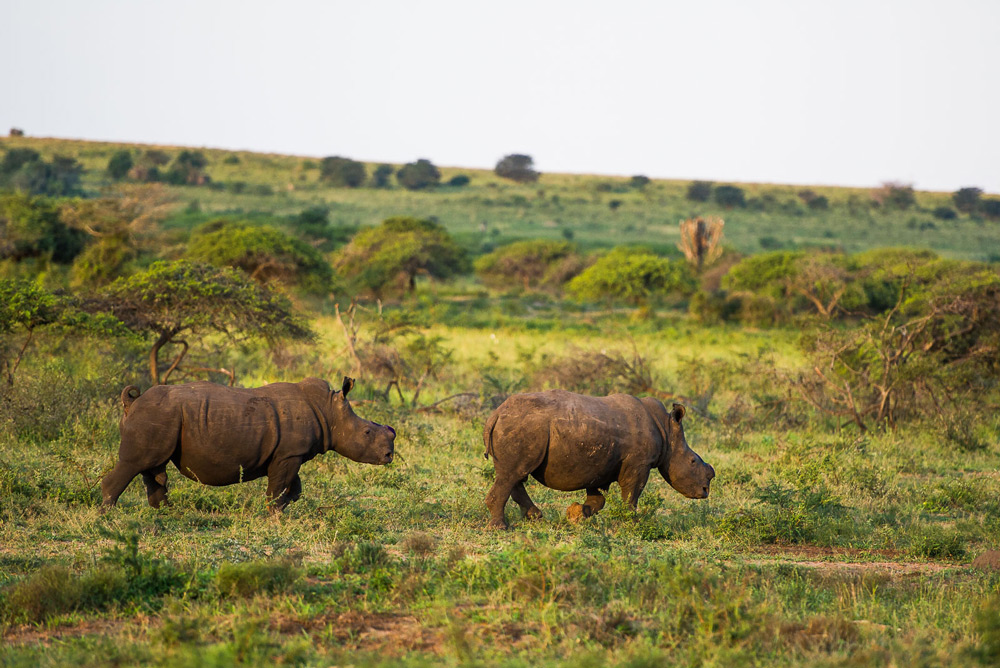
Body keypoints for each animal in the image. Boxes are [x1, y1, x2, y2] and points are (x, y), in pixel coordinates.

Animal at [99, 376, 396, 512]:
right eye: (367, 432)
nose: (389, 455)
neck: (329, 411)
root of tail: (132, 402)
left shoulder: (290, 453)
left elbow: (295, 487)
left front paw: (283, 507)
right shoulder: (289, 454)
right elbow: (279, 486)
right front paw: (274, 514)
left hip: (161, 416)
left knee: (152, 466)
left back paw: (165, 513)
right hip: (156, 414)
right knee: (135, 463)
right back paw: (108, 513)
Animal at [482, 388, 712, 528]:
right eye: (692, 461)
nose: (705, 491)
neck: (666, 429)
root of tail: (495, 414)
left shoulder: (600, 464)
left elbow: (597, 498)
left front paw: (577, 514)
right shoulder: (639, 462)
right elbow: (632, 493)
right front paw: (631, 522)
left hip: (519, 427)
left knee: (514, 475)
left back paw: (535, 518)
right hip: (521, 427)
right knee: (512, 474)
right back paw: (500, 528)